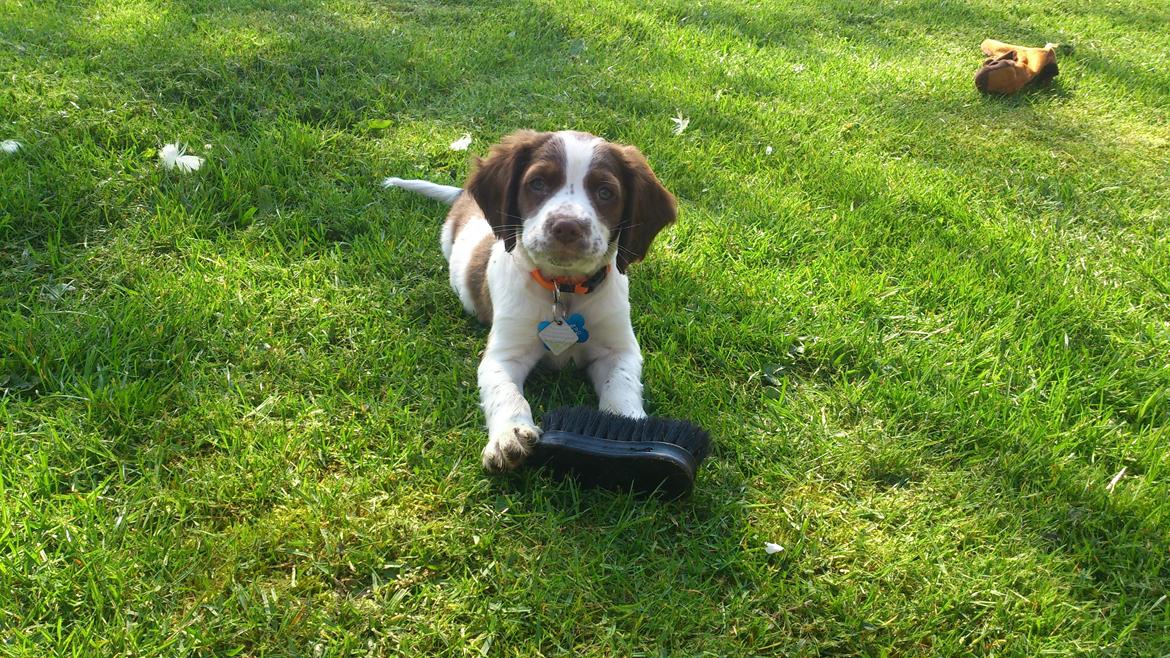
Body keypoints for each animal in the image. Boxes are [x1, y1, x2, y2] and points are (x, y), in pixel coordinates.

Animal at [383, 129, 678, 465]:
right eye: (537, 183)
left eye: (605, 192)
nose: (567, 227)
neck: (563, 288)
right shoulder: (503, 354)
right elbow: (507, 394)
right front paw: (509, 436)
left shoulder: (619, 350)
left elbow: (621, 387)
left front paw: (630, 432)